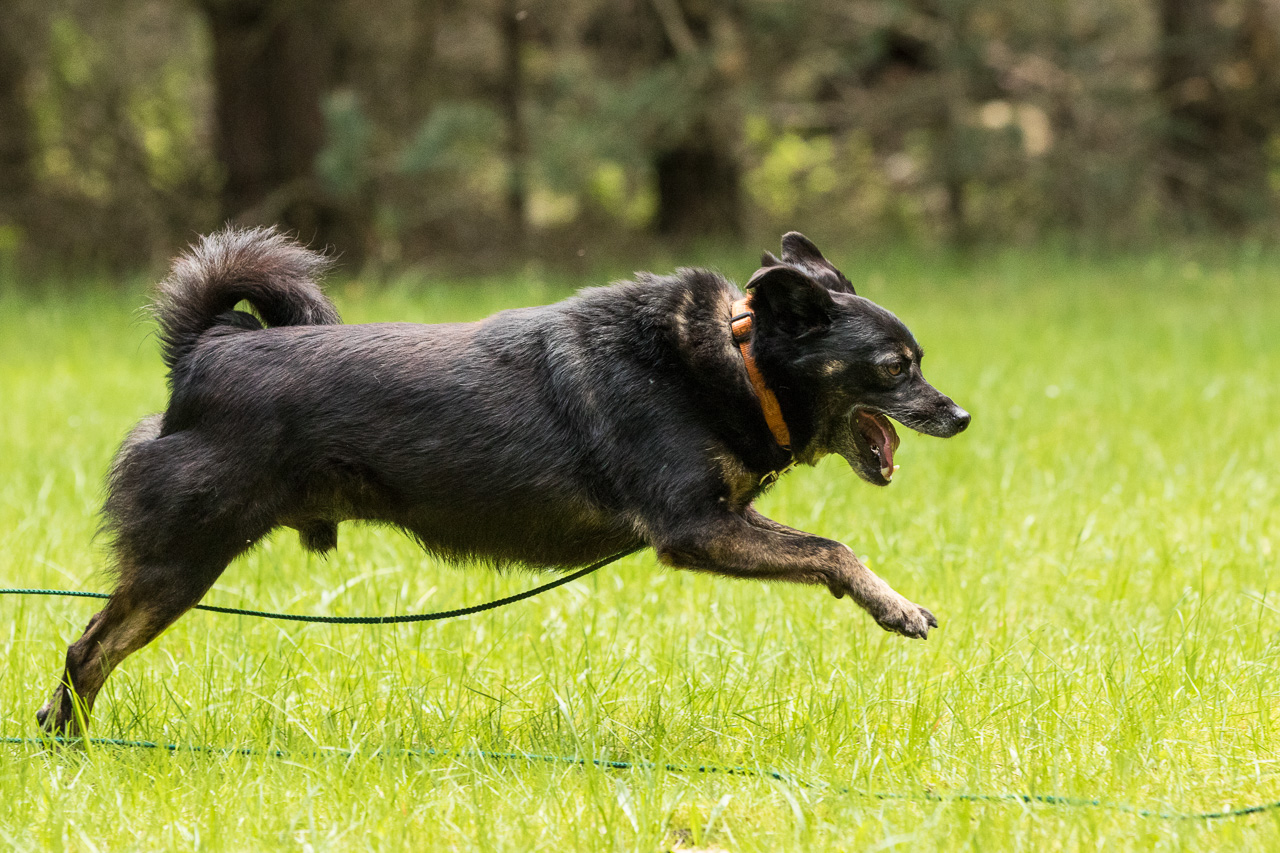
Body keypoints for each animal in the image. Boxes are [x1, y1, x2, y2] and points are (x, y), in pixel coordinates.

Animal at [38, 228, 969, 734]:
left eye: (920, 360)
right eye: (897, 366)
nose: (961, 416)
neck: (735, 361)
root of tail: (205, 349)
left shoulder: (718, 520)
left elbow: (826, 548)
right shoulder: (697, 528)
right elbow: (832, 548)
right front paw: (894, 605)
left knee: (87, 646)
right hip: (181, 559)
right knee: (88, 649)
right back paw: (74, 743)